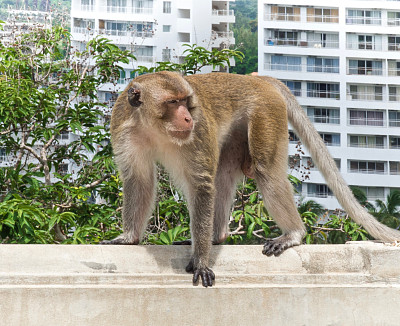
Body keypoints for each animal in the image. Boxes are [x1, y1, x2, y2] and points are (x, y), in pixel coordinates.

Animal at [101, 71, 400, 288]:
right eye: (172, 103)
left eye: (186, 102)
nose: (187, 118)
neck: (153, 126)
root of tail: (253, 78)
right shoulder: (123, 127)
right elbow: (139, 179)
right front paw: (128, 238)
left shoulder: (197, 134)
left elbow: (201, 184)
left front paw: (201, 261)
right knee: (223, 174)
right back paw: (217, 237)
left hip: (265, 114)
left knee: (267, 172)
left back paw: (292, 234)